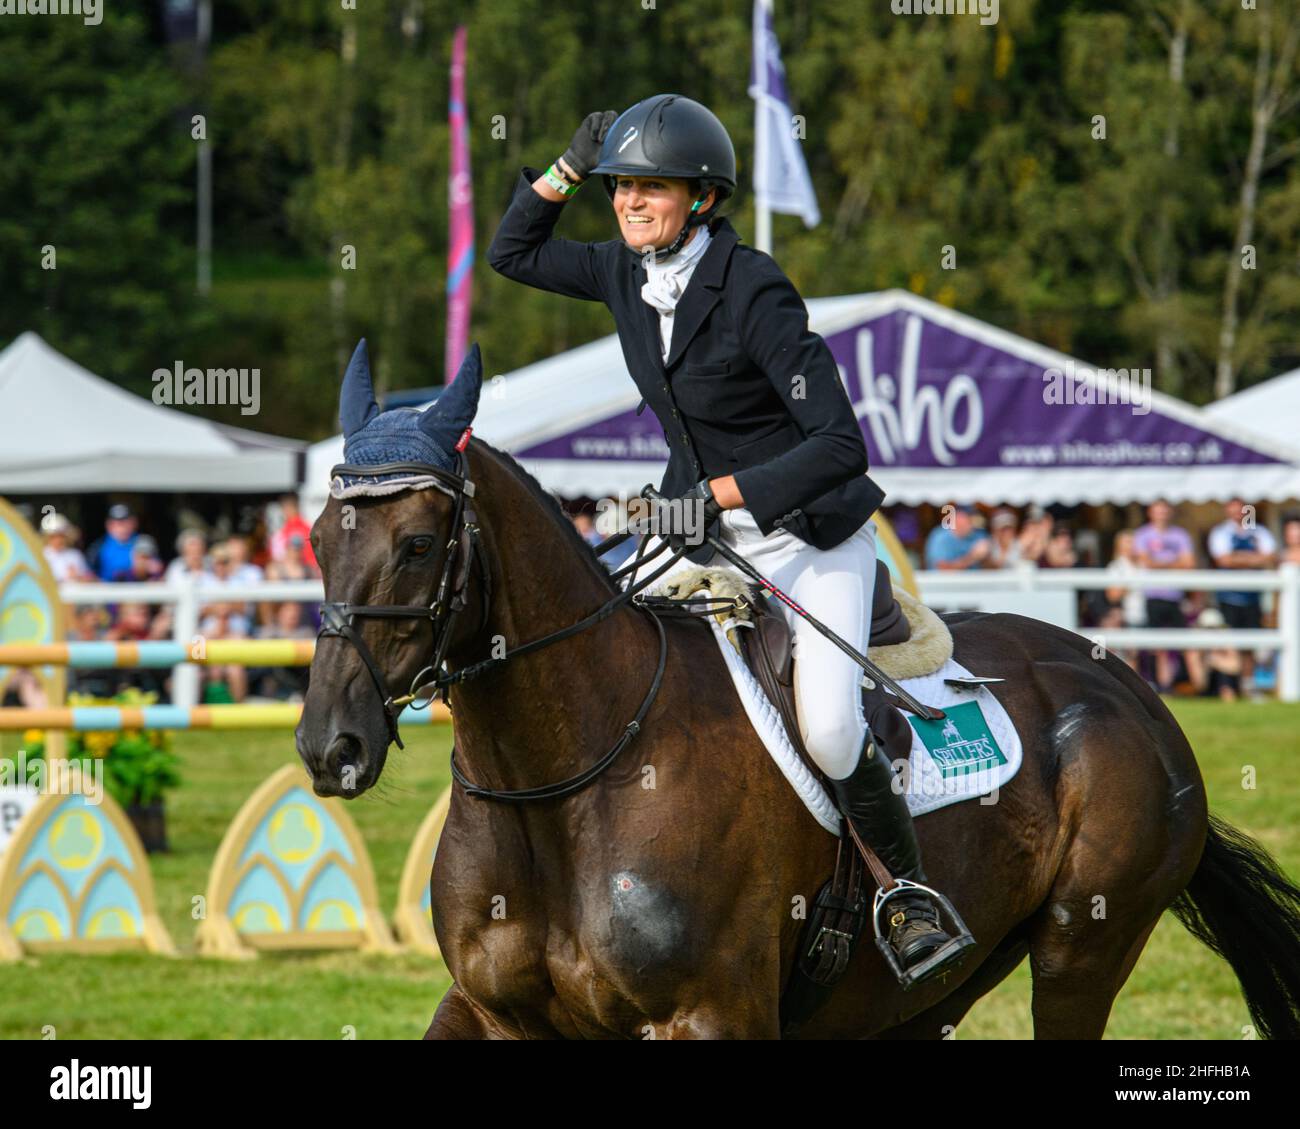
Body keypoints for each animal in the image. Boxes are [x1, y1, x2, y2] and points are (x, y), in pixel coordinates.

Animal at [297, 379, 1300, 1040]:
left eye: (417, 543)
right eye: (312, 538)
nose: (327, 746)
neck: (561, 783)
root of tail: (1130, 689)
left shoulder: (712, 1013)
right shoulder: (494, 1013)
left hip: (1079, 955)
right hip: (924, 997)